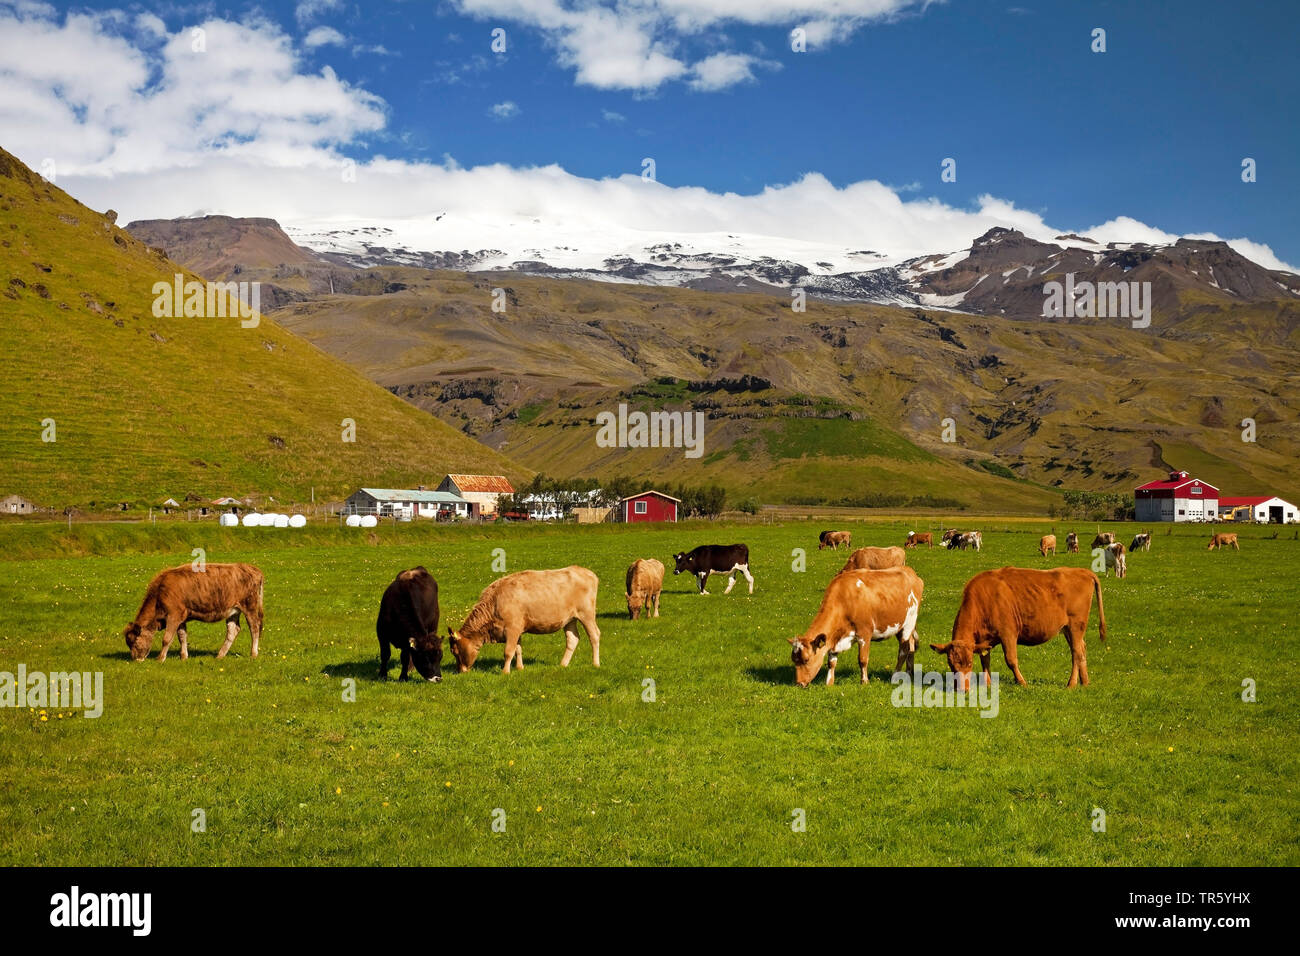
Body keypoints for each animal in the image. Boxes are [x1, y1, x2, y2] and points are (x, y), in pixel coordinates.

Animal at [122, 564, 263, 660]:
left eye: (134, 641)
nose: (136, 659)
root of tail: (252, 568)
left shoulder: (173, 615)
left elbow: (167, 638)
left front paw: (160, 658)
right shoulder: (181, 617)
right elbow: (182, 637)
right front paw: (184, 657)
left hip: (249, 606)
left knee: (254, 628)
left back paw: (253, 654)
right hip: (233, 611)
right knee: (233, 630)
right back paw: (220, 655)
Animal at [449, 567, 600, 671]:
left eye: (454, 651)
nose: (460, 671)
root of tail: (586, 572)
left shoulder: (512, 628)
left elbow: (508, 651)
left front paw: (505, 672)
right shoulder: (517, 629)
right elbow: (518, 649)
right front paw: (520, 668)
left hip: (586, 613)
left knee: (594, 635)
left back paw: (595, 663)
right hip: (570, 619)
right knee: (572, 639)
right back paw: (563, 665)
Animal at [790, 567, 925, 686]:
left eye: (806, 660)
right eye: (794, 660)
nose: (799, 683)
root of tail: (911, 572)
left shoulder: (864, 633)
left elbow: (862, 659)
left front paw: (864, 682)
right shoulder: (835, 639)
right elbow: (831, 662)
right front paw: (829, 683)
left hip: (909, 622)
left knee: (903, 650)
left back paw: (895, 676)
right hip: (899, 626)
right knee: (911, 646)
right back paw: (909, 673)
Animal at [925, 564, 1107, 691]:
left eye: (969, 663)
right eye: (951, 664)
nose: (962, 689)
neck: (984, 599)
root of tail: (1083, 571)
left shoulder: (1008, 634)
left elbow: (1011, 660)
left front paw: (1021, 682)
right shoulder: (984, 640)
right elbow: (985, 660)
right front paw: (988, 683)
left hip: (1076, 625)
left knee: (1076, 653)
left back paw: (1071, 683)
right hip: (1068, 629)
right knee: (1081, 649)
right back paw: (1085, 681)